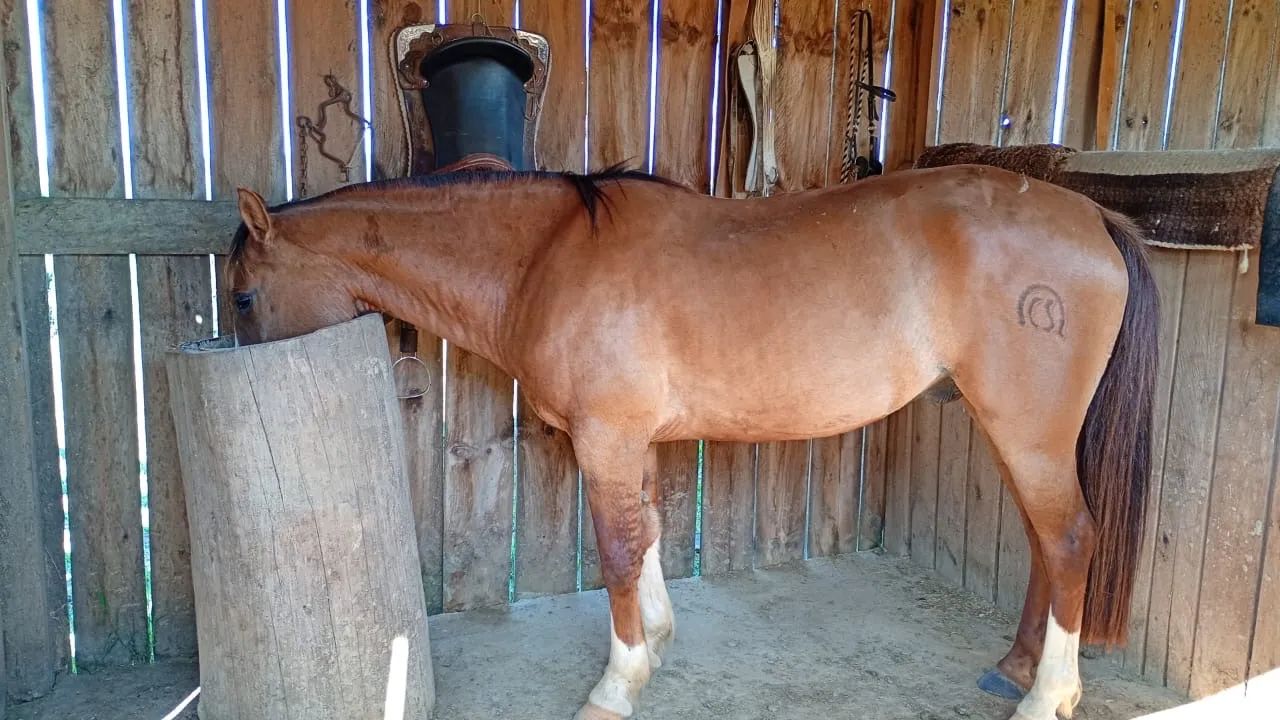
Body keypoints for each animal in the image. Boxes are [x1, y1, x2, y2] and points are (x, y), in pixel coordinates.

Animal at [226, 163, 1157, 720]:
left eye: (239, 295)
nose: (235, 359)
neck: (546, 259)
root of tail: (1092, 213)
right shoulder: (630, 441)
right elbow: (648, 534)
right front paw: (657, 646)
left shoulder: (605, 438)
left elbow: (615, 548)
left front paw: (615, 684)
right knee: (1045, 543)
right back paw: (1017, 666)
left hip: (1028, 431)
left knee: (1070, 540)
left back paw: (1047, 696)